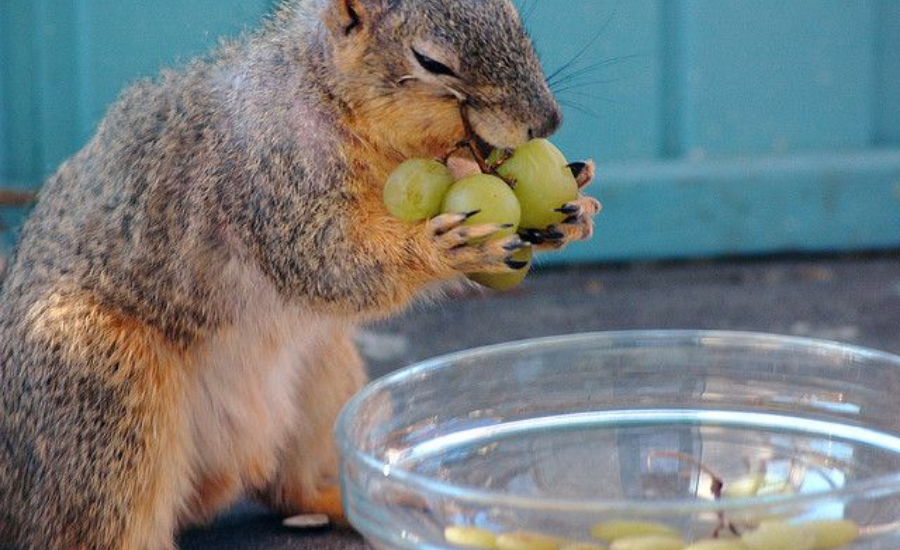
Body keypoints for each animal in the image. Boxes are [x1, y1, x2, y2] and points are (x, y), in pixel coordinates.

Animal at [1, 0, 604, 548]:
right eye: (431, 61)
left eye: (514, 17)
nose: (548, 121)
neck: (331, 94)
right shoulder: (272, 176)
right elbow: (329, 263)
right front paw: (441, 247)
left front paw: (573, 207)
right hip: (101, 392)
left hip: (322, 375)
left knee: (287, 489)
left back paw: (365, 496)